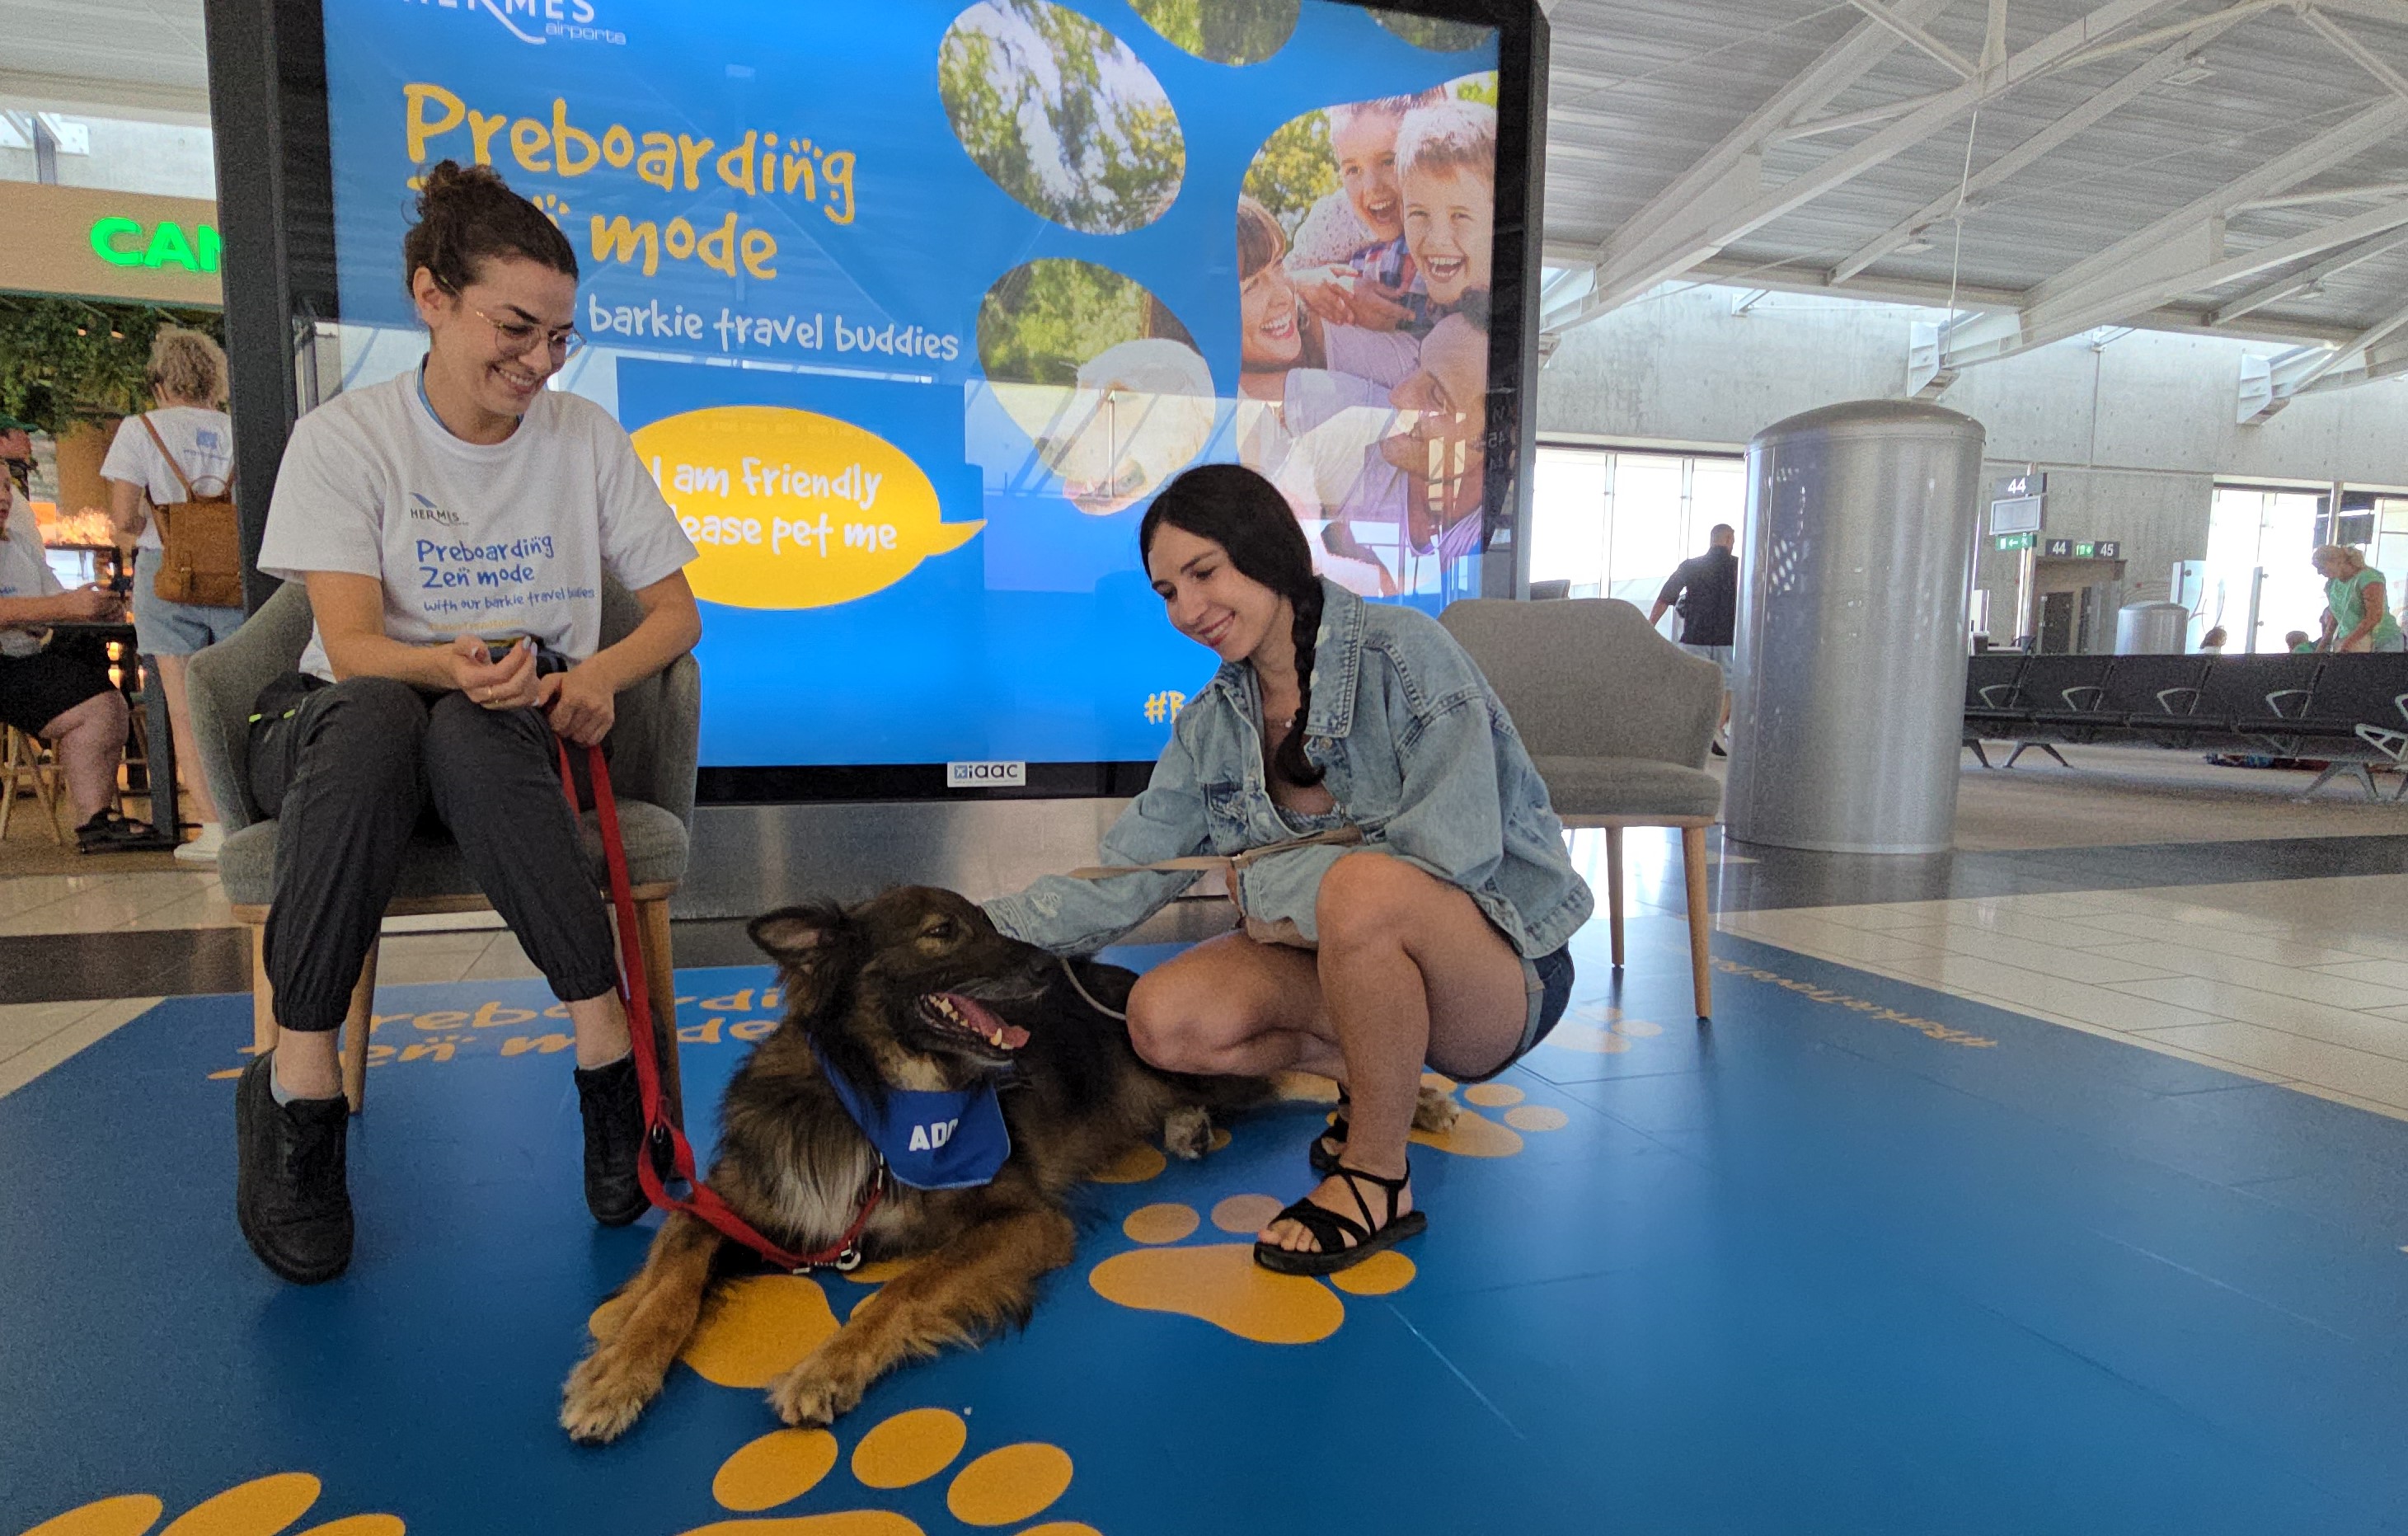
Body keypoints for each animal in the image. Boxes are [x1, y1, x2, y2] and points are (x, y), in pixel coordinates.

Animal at [551, 890, 1251, 1444]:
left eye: (988, 921)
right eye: (942, 930)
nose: (1049, 967)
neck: (878, 1097)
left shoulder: (1027, 1219)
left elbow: (905, 1288)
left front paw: (826, 1368)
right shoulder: (728, 1205)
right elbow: (670, 1285)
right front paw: (616, 1370)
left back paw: (1199, 1124)